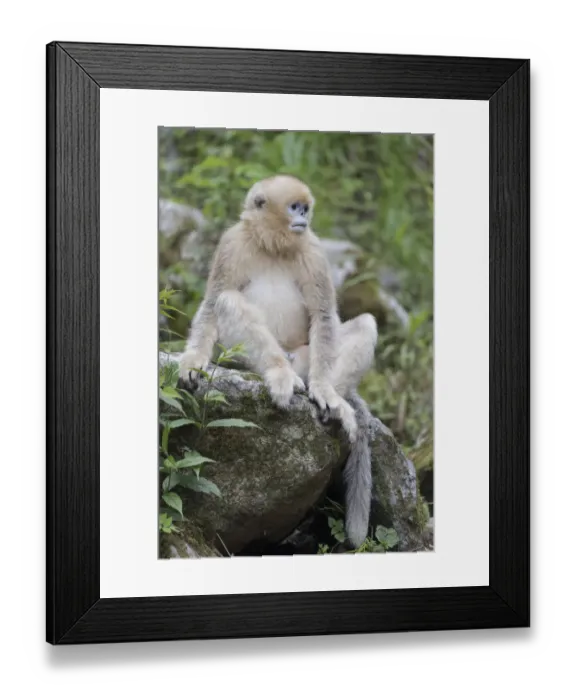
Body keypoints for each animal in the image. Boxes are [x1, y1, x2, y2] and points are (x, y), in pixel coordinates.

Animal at [178, 174, 378, 548]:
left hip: (306, 358)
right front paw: (193, 360)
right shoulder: (232, 243)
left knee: (364, 325)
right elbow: (213, 303)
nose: (303, 218)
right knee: (228, 300)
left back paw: (333, 401)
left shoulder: (313, 249)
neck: (272, 245)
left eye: (305, 208)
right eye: (293, 207)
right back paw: (279, 374)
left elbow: (323, 316)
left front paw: (326, 393)